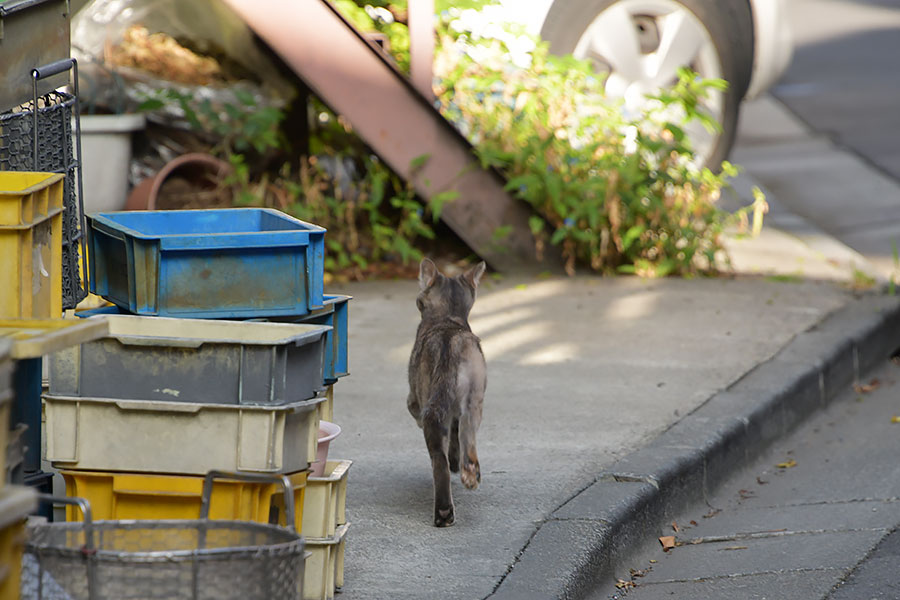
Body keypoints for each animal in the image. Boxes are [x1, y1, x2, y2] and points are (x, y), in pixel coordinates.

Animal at [408, 255, 486, 528]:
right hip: (474, 401)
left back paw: (443, 512)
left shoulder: (413, 400)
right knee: (466, 437)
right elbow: (455, 436)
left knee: (438, 460)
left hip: (432, 409)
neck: (448, 317)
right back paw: (469, 474)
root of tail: (449, 344)